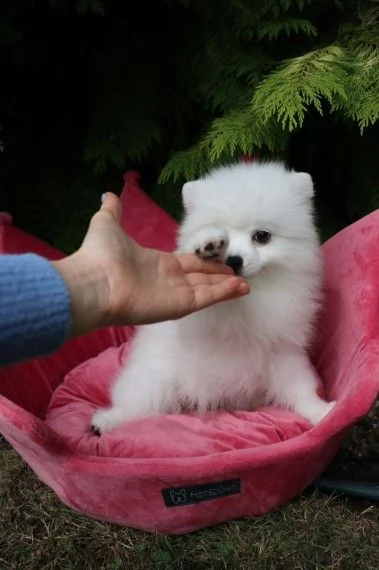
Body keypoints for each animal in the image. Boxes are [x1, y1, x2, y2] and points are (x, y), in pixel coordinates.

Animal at [92, 162, 336, 432]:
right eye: (223, 234)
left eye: (262, 236)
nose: (234, 260)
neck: (251, 297)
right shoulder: (199, 320)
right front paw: (206, 244)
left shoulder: (282, 351)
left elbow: (299, 389)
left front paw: (321, 412)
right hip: (153, 382)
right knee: (133, 402)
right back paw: (106, 421)